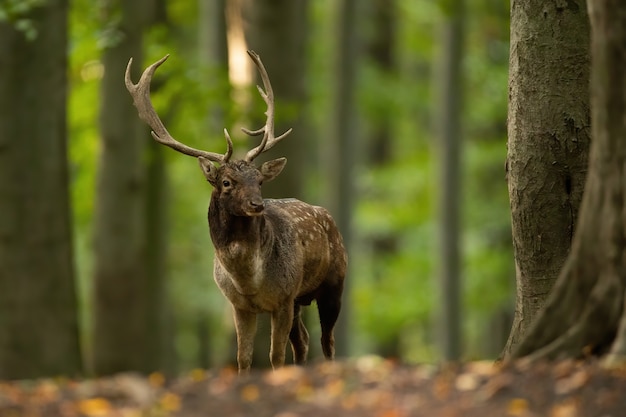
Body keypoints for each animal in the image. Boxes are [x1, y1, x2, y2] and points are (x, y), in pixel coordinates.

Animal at [123, 50, 346, 372]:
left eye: (260, 180)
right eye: (227, 182)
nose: (258, 205)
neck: (249, 281)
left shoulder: (283, 297)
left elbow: (275, 356)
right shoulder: (240, 306)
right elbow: (243, 358)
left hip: (334, 283)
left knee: (327, 340)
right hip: (299, 300)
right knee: (303, 340)